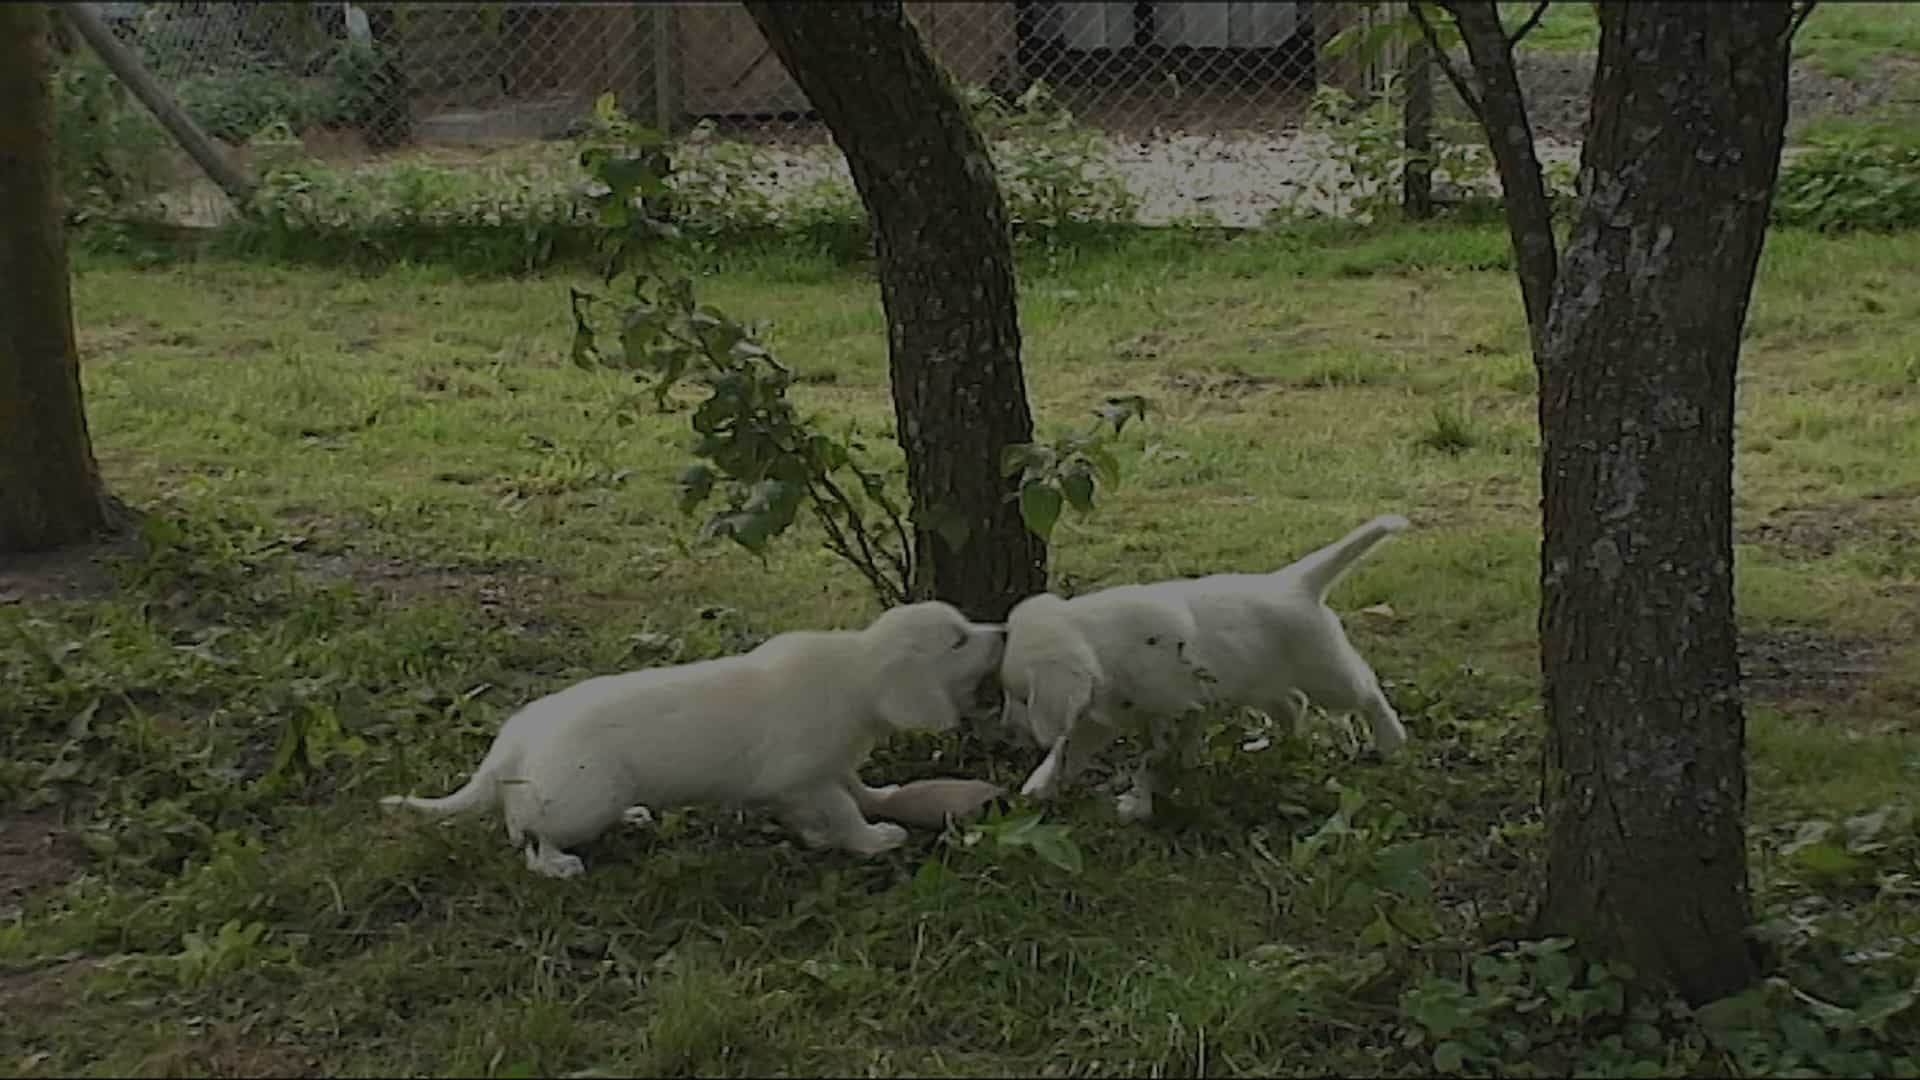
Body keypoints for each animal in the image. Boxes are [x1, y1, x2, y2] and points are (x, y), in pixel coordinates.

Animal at [376, 595, 1006, 876]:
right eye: (957, 640)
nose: (1002, 628)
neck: (856, 671)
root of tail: (512, 741)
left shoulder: (817, 772)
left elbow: (840, 796)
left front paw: (844, 822)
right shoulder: (808, 774)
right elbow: (844, 807)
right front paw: (872, 840)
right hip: (578, 798)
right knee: (527, 834)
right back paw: (557, 864)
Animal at [1006, 511, 1413, 814]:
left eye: (1024, 697)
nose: (1007, 728)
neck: (1103, 639)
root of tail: (1295, 583)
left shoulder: (1173, 710)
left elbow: (1151, 759)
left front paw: (1137, 802)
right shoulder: (1101, 716)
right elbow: (1068, 748)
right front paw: (1040, 785)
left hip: (1325, 671)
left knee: (1366, 690)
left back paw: (1390, 739)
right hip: (1259, 680)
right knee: (1292, 703)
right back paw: (1280, 746)